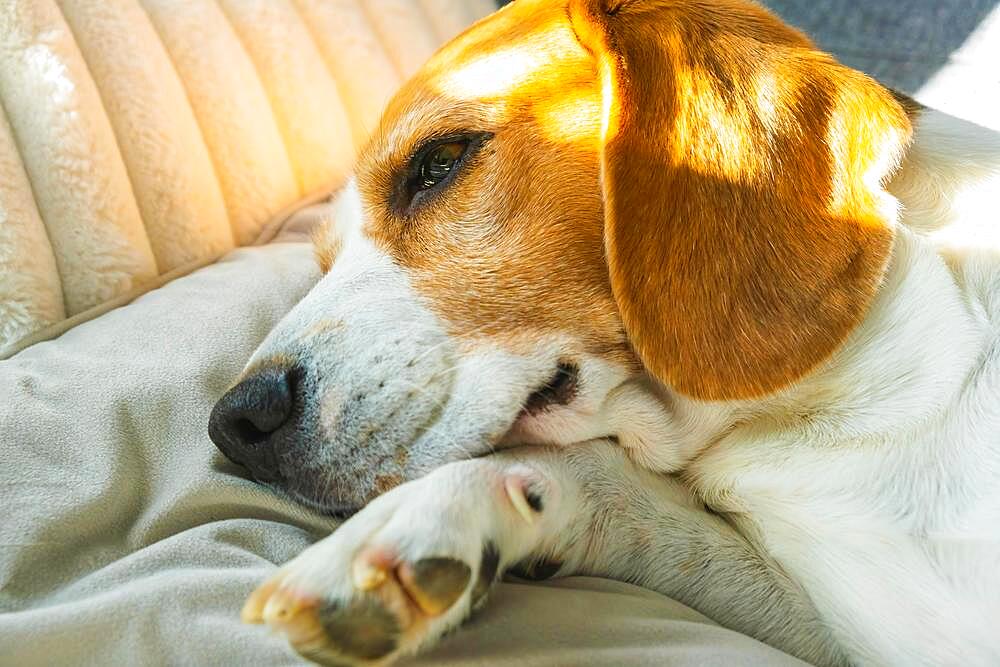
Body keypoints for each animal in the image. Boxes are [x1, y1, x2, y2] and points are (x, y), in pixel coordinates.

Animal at [207, 0, 996, 664]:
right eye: (323, 260)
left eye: (439, 162)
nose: (234, 423)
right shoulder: (853, 619)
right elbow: (608, 480)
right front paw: (432, 519)